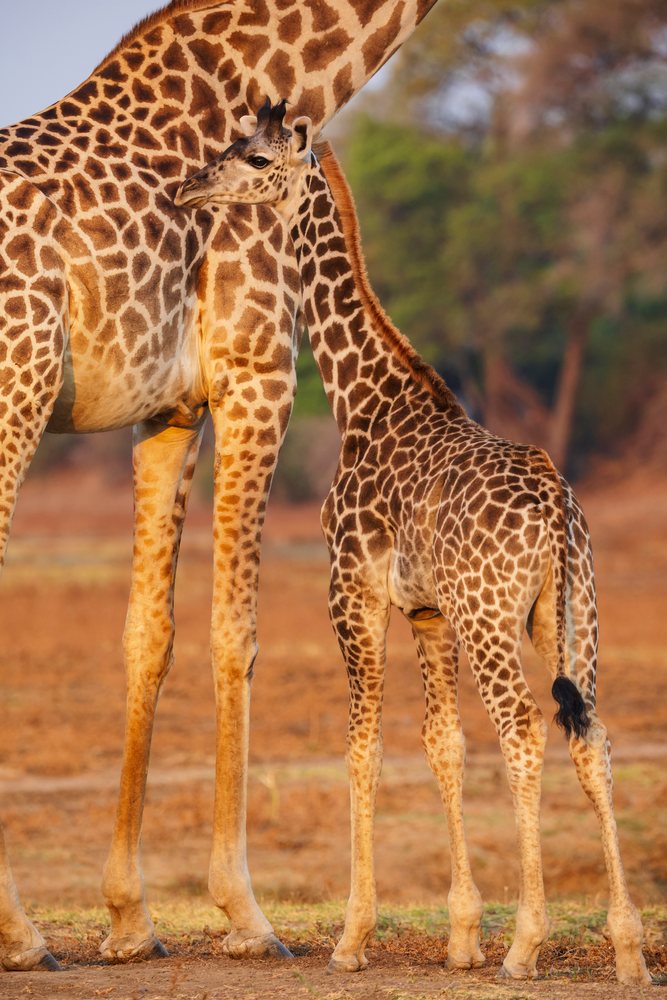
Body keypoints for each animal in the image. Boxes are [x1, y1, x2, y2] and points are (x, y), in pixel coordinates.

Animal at [0, 0, 441, 973]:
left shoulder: (169, 410)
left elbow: (149, 634)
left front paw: (131, 920)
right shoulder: (256, 377)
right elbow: (236, 633)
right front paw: (247, 915)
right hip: (18, 389)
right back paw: (24, 934)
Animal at [174, 102, 653, 986]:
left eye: (253, 157)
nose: (191, 186)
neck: (362, 395)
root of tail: (558, 508)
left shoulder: (352, 595)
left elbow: (360, 747)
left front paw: (353, 937)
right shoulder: (428, 611)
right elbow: (441, 744)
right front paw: (462, 937)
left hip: (492, 617)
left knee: (524, 728)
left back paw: (527, 946)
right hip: (568, 614)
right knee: (591, 735)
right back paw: (628, 948)